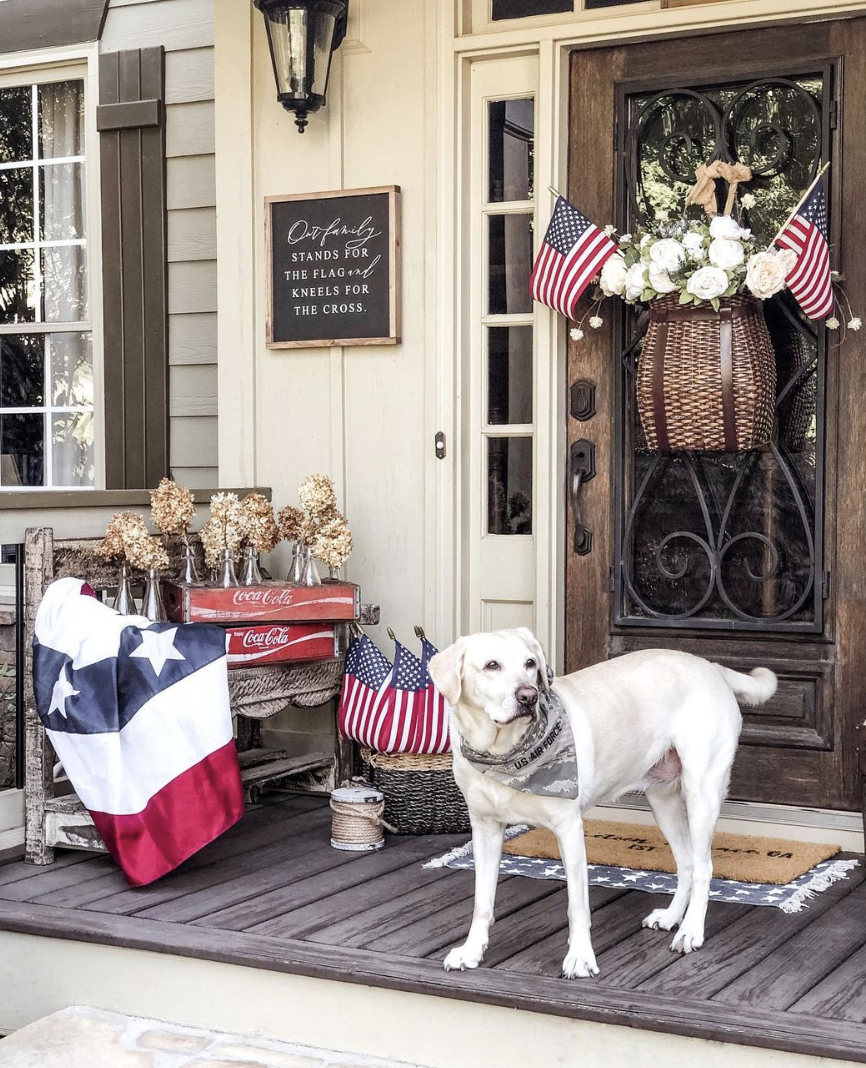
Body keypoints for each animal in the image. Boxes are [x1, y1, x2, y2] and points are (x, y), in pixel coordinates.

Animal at [429, 627, 777, 978]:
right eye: (491, 665)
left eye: (530, 663)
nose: (528, 695)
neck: (504, 755)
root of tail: (711, 666)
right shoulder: (485, 829)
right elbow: (482, 902)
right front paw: (471, 951)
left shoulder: (569, 829)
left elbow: (577, 906)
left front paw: (581, 958)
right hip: (662, 800)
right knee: (688, 863)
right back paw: (670, 918)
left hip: (701, 790)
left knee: (704, 867)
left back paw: (691, 930)